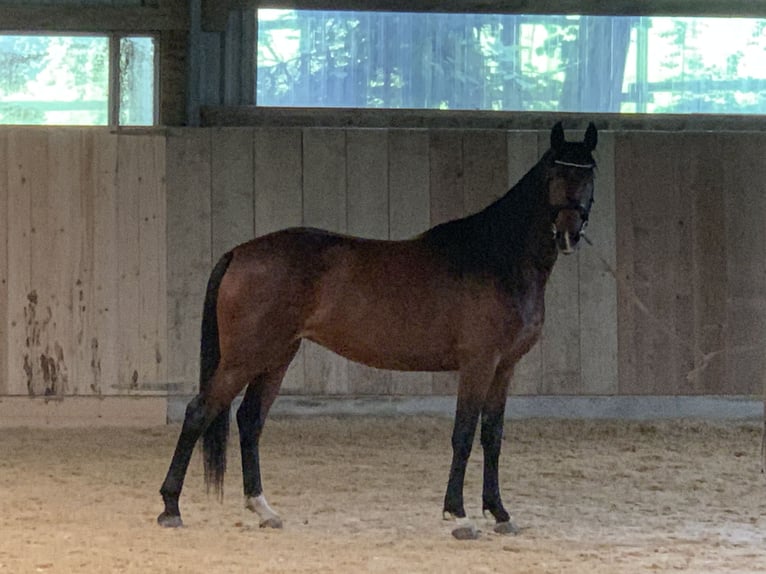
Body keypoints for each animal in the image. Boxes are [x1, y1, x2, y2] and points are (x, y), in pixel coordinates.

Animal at [156, 121, 600, 540]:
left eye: (589, 173)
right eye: (556, 173)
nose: (568, 233)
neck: (496, 258)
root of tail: (239, 252)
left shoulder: (504, 368)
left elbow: (493, 436)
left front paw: (500, 513)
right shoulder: (478, 364)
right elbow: (463, 434)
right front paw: (458, 516)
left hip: (277, 356)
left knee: (249, 420)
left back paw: (264, 509)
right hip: (245, 357)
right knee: (199, 411)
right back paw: (170, 508)